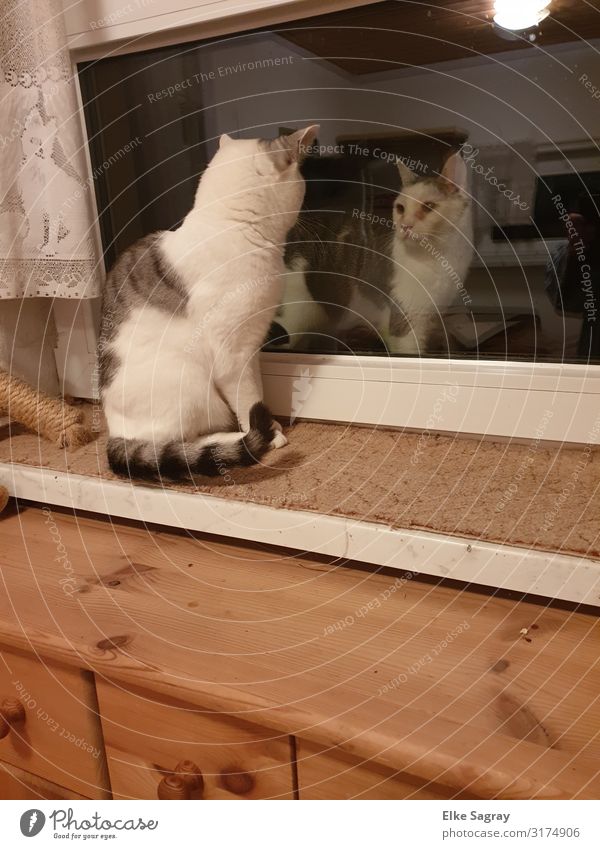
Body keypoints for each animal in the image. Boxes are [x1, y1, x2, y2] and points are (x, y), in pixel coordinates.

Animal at [99, 127, 318, 484]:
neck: (230, 225)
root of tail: (115, 432)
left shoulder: (252, 342)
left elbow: (256, 391)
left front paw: (270, 425)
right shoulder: (233, 352)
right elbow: (248, 397)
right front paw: (270, 435)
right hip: (190, 384)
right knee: (176, 442)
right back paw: (228, 440)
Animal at [390, 151, 474, 352]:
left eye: (428, 206)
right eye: (400, 208)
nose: (405, 226)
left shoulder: (434, 313)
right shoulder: (406, 320)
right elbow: (411, 349)